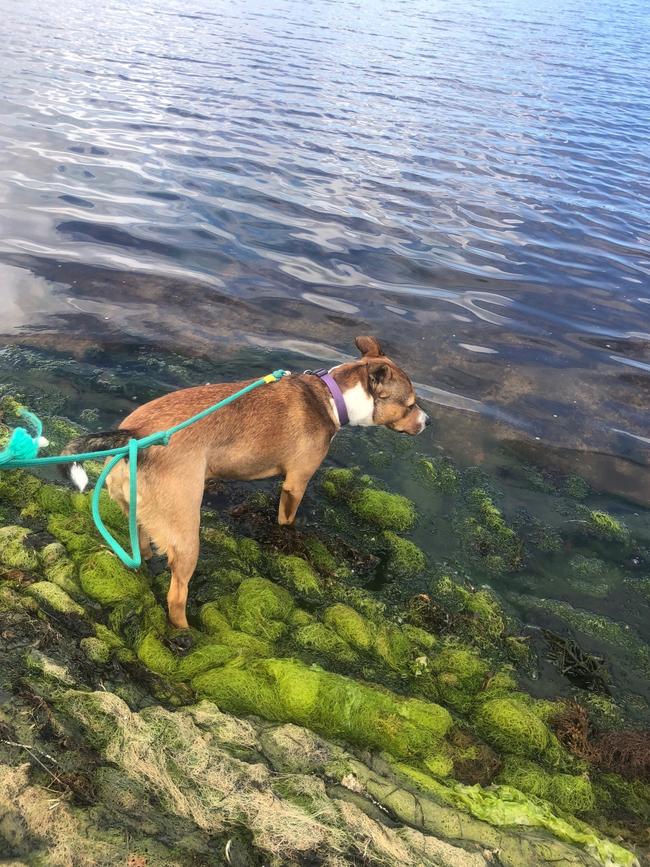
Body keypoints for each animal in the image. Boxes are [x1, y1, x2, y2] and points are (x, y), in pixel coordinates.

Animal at [66, 336, 428, 628]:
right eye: (410, 405)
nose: (427, 421)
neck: (331, 395)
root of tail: (133, 437)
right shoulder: (295, 484)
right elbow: (287, 517)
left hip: (139, 516)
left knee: (142, 549)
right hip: (186, 538)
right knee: (176, 595)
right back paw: (186, 631)